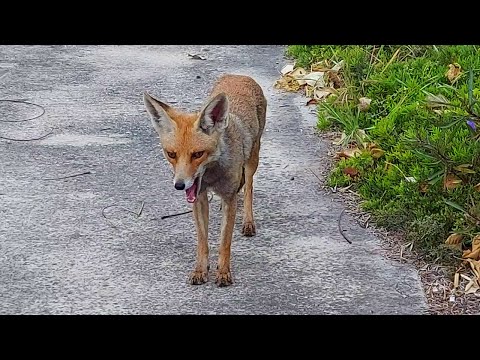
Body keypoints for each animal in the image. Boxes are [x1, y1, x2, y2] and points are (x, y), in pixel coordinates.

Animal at [144, 74, 268, 286]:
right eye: (171, 154)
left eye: (198, 154)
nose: (179, 185)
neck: (212, 176)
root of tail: (238, 75)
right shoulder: (199, 198)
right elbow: (202, 241)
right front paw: (200, 270)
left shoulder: (229, 198)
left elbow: (224, 242)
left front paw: (224, 272)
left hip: (253, 158)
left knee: (249, 188)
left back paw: (248, 221)